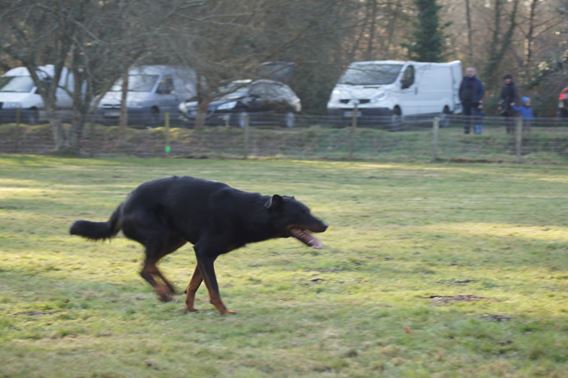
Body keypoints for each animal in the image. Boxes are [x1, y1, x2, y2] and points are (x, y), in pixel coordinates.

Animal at [70, 176, 328, 314]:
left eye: (309, 210)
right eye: (302, 213)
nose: (325, 225)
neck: (249, 211)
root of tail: (123, 204)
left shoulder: (203, 255)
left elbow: (195, 284)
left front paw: (190, 307)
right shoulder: (204, 252)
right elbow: (213, 288)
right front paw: (224, 311)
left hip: (174, 239)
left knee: (151, 266)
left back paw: (169, 289)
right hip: (160, 236)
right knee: (145, 268)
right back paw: (163, 292)